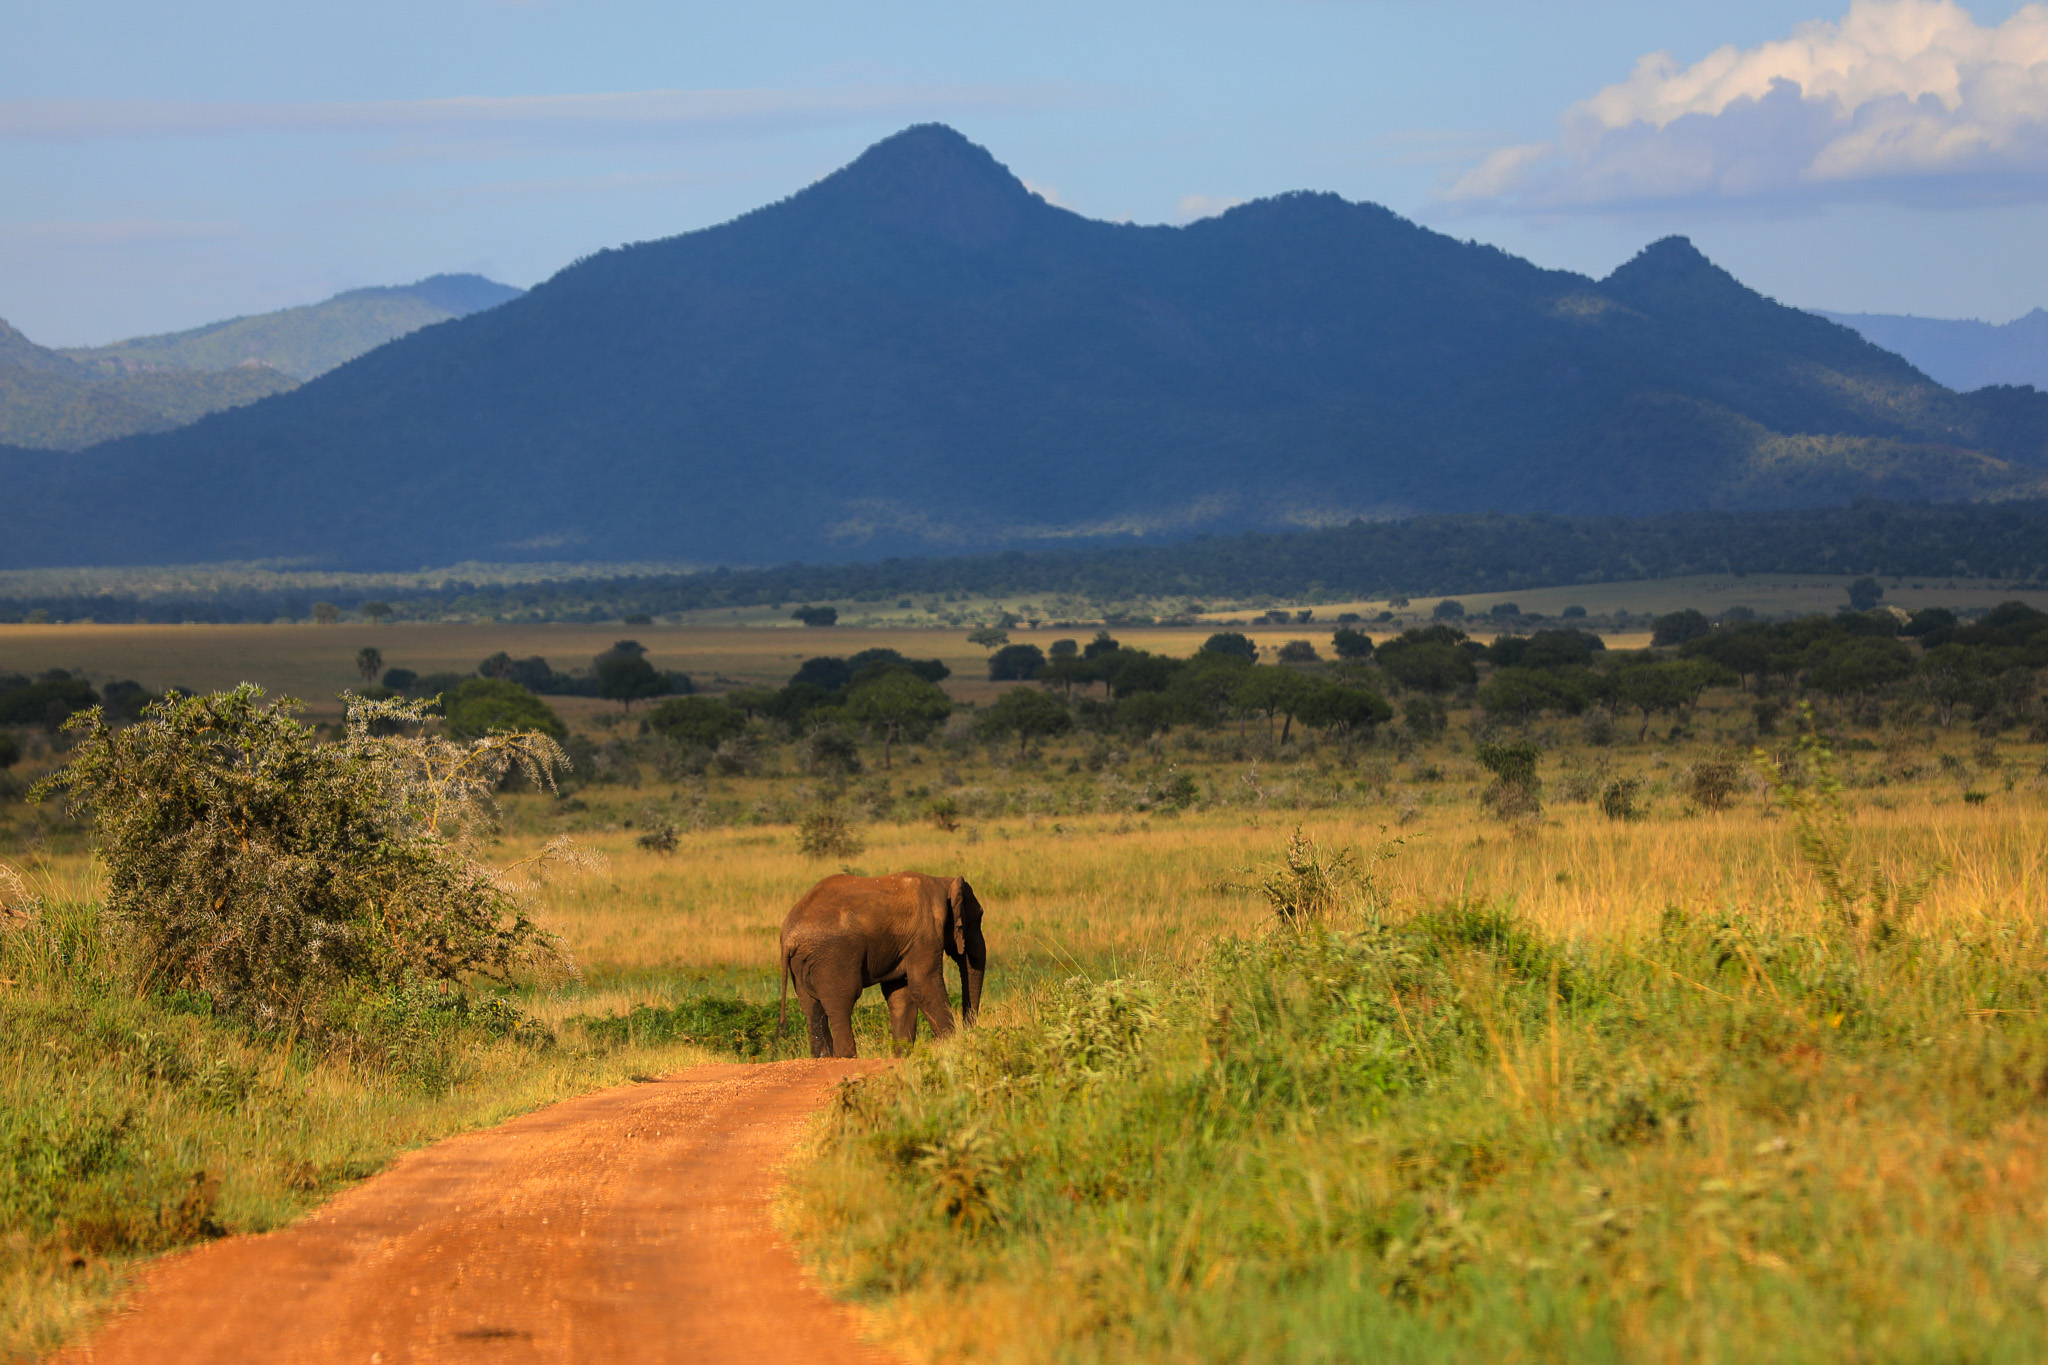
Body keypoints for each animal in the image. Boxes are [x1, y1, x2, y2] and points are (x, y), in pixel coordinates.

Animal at [778, 871, 986, 1059]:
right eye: (977, 919)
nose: (968, 1029)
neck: (943, 882)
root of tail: (788, 937)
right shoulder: (925, 933)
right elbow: (922, 987)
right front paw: (951, 1046)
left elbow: (900, 993)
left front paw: (903, 1057)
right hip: (833, 956)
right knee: (842, 1002)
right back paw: (847, 1058)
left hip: (802, 962)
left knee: (811, 1007)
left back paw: (824, 1058)